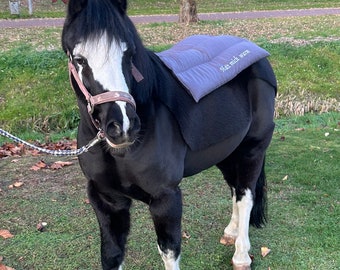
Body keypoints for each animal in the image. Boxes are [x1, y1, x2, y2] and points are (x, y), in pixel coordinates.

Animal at [61, 0, 276, 268]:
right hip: (227, 154)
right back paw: (231, 232)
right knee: (235, 189)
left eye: (129, 54)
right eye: (79, 59)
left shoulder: (166, 198)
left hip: (252, 149)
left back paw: (241, 255)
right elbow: (112, 254)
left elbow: (169, 251)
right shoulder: (107, 199)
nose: (122, 127)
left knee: (246, 196)